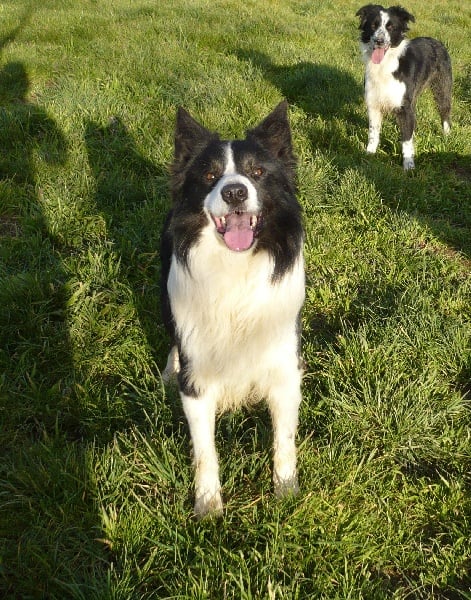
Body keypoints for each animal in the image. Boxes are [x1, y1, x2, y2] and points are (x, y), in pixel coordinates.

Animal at [160, 101, 305, 517]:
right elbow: (205, 452)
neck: (234, 271)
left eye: (257, 172)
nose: (236, 192)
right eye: (210, 175)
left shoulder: (285, 368)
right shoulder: (197, 380)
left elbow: (284, 441)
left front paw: (286, 495)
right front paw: (209, 507)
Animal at [356, 4, 452, 169]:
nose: (379, 41)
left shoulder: (404, 107)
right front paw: (369, 155)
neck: (385, 66)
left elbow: (406, 139)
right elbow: (373, 133)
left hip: (442, 87)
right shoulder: (374, 104)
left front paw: (408, 166)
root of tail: (436, 41)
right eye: (373, 25)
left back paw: (446, 136)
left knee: (445, 112)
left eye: (391, 27)